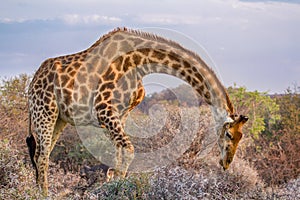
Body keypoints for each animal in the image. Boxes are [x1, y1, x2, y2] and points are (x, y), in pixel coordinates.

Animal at [27, 26, 248, 195]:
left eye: (241, 136)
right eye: (229, 134)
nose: (226, 163)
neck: (139, 63)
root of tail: (32, 82)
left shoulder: (121, 114)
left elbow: (119, 153)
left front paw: (113, 182)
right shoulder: (104, 109)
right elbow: (129, 150)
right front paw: (117, 187)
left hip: (60, 119)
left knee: (40, 153)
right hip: (45, 111)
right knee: (42, 155)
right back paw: (43, 194)